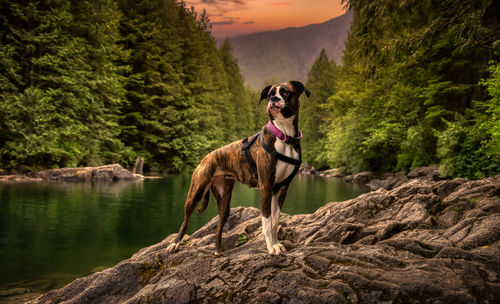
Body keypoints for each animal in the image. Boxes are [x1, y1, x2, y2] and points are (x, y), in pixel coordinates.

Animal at [167, 80, 308, 254]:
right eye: (269, 95)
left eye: (286, 92)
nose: (274, 99)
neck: (284, 134)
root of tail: (206, 157)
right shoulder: (265, 187)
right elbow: (267, 222)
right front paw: (271, 247)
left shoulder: (281, 189)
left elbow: (275, 222)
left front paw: (276, 244)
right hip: (195, 193)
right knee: (185, 221)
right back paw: (175, 243)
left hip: (224, 202)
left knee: (219, 228)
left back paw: (218, 252)